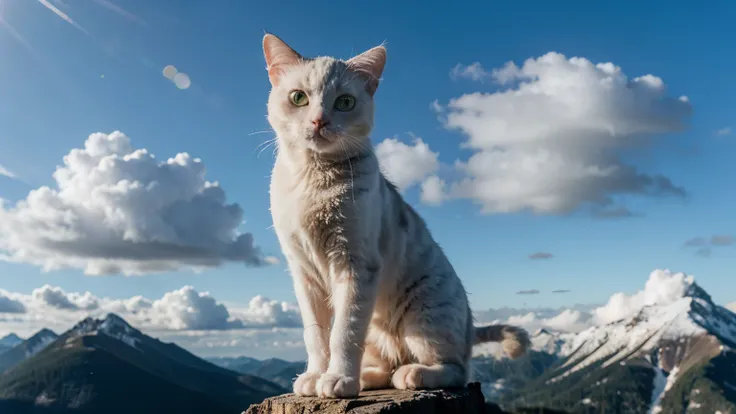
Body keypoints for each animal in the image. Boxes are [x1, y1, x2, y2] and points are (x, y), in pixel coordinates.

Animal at [262, 33, 528, 398]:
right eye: (298, 98)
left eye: (345, 102)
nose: (319, 121)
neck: (312, 181)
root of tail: (469, 327)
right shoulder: (303, 273)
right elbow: (317, 334)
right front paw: (316, 375)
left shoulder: (356, 265)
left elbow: (343, 332)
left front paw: (338, 379)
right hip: (379, 332)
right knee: (387, 365)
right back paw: (367, 377)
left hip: (426, 317)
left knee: (456, 369)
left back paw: (413, 374)